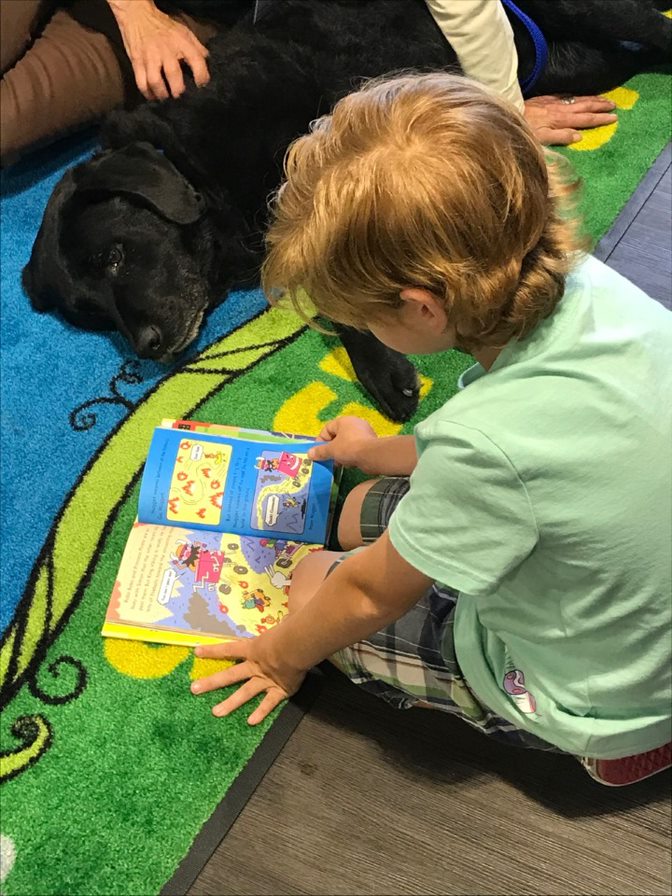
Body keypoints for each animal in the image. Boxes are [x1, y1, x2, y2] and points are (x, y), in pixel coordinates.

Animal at [23, 0, 668, 420]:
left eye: (114, 255)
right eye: (93, 315)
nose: (147, 347)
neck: (193, 162)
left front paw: (383, 368)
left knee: (656, 29)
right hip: (580, 58)